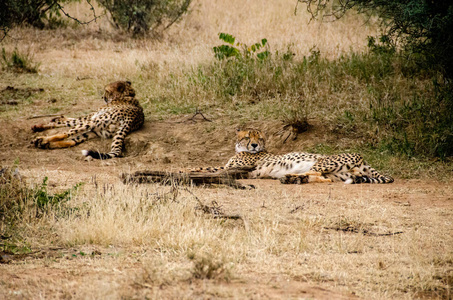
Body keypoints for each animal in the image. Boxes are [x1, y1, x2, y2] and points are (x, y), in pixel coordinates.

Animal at [193, 127, 392, 184]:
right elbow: (208, 166)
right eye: (248, 137)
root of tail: (363, 158)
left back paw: (290, 177)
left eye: (259, 138)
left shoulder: (235, 166)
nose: (255, 145)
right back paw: (293, 178)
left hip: (321, 161)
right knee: (323, 178)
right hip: (340, 174)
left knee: (316, 173)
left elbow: (207, 167)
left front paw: (190, 170)